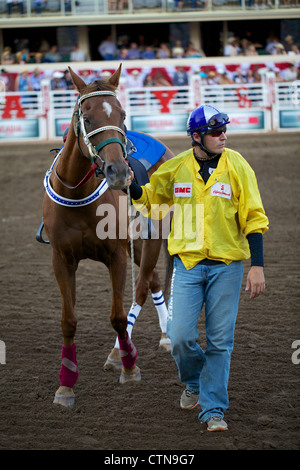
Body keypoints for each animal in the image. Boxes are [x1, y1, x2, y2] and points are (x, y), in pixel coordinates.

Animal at [41, 64, 175, 406]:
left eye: (122, 114)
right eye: (87, 118)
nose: (118, 172)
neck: (77, 194)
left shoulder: (116, 256)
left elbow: (117, 316)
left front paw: (129, 367)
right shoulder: (61, 259)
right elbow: (68, 320)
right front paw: (65, 386)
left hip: (151, 240)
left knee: (142, 287)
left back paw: (123, 352)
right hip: (136, 246)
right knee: (154, 281)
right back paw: (164, 336)